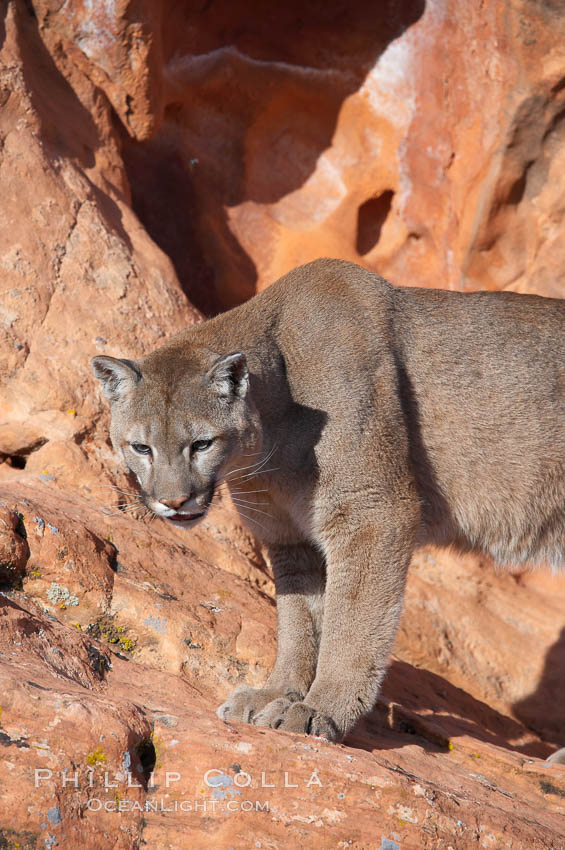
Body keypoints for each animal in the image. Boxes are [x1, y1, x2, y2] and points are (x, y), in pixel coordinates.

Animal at [92, 256, 564, 744]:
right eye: (140, 447)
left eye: (202, 444)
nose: (174, 501)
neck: (271, 441)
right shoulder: (289, 536)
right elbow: (299, 622)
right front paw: (278, 692)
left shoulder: (372, 516)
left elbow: (350, 625)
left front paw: (321, 709)